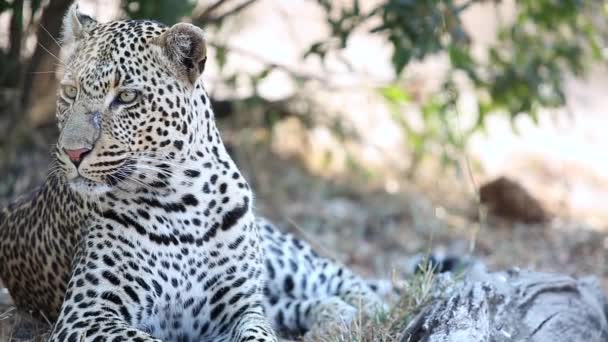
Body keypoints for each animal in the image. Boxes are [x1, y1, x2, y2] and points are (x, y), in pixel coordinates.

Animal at [0, 3, 388, 342]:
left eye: (126, 97)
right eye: (69, 92)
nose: (72, 152)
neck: (183, 199)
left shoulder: (241, 309)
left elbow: (260, 332)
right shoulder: (87, 314)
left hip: (281, 258)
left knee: (336, 275)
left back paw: (367, 308)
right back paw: (335, 314)